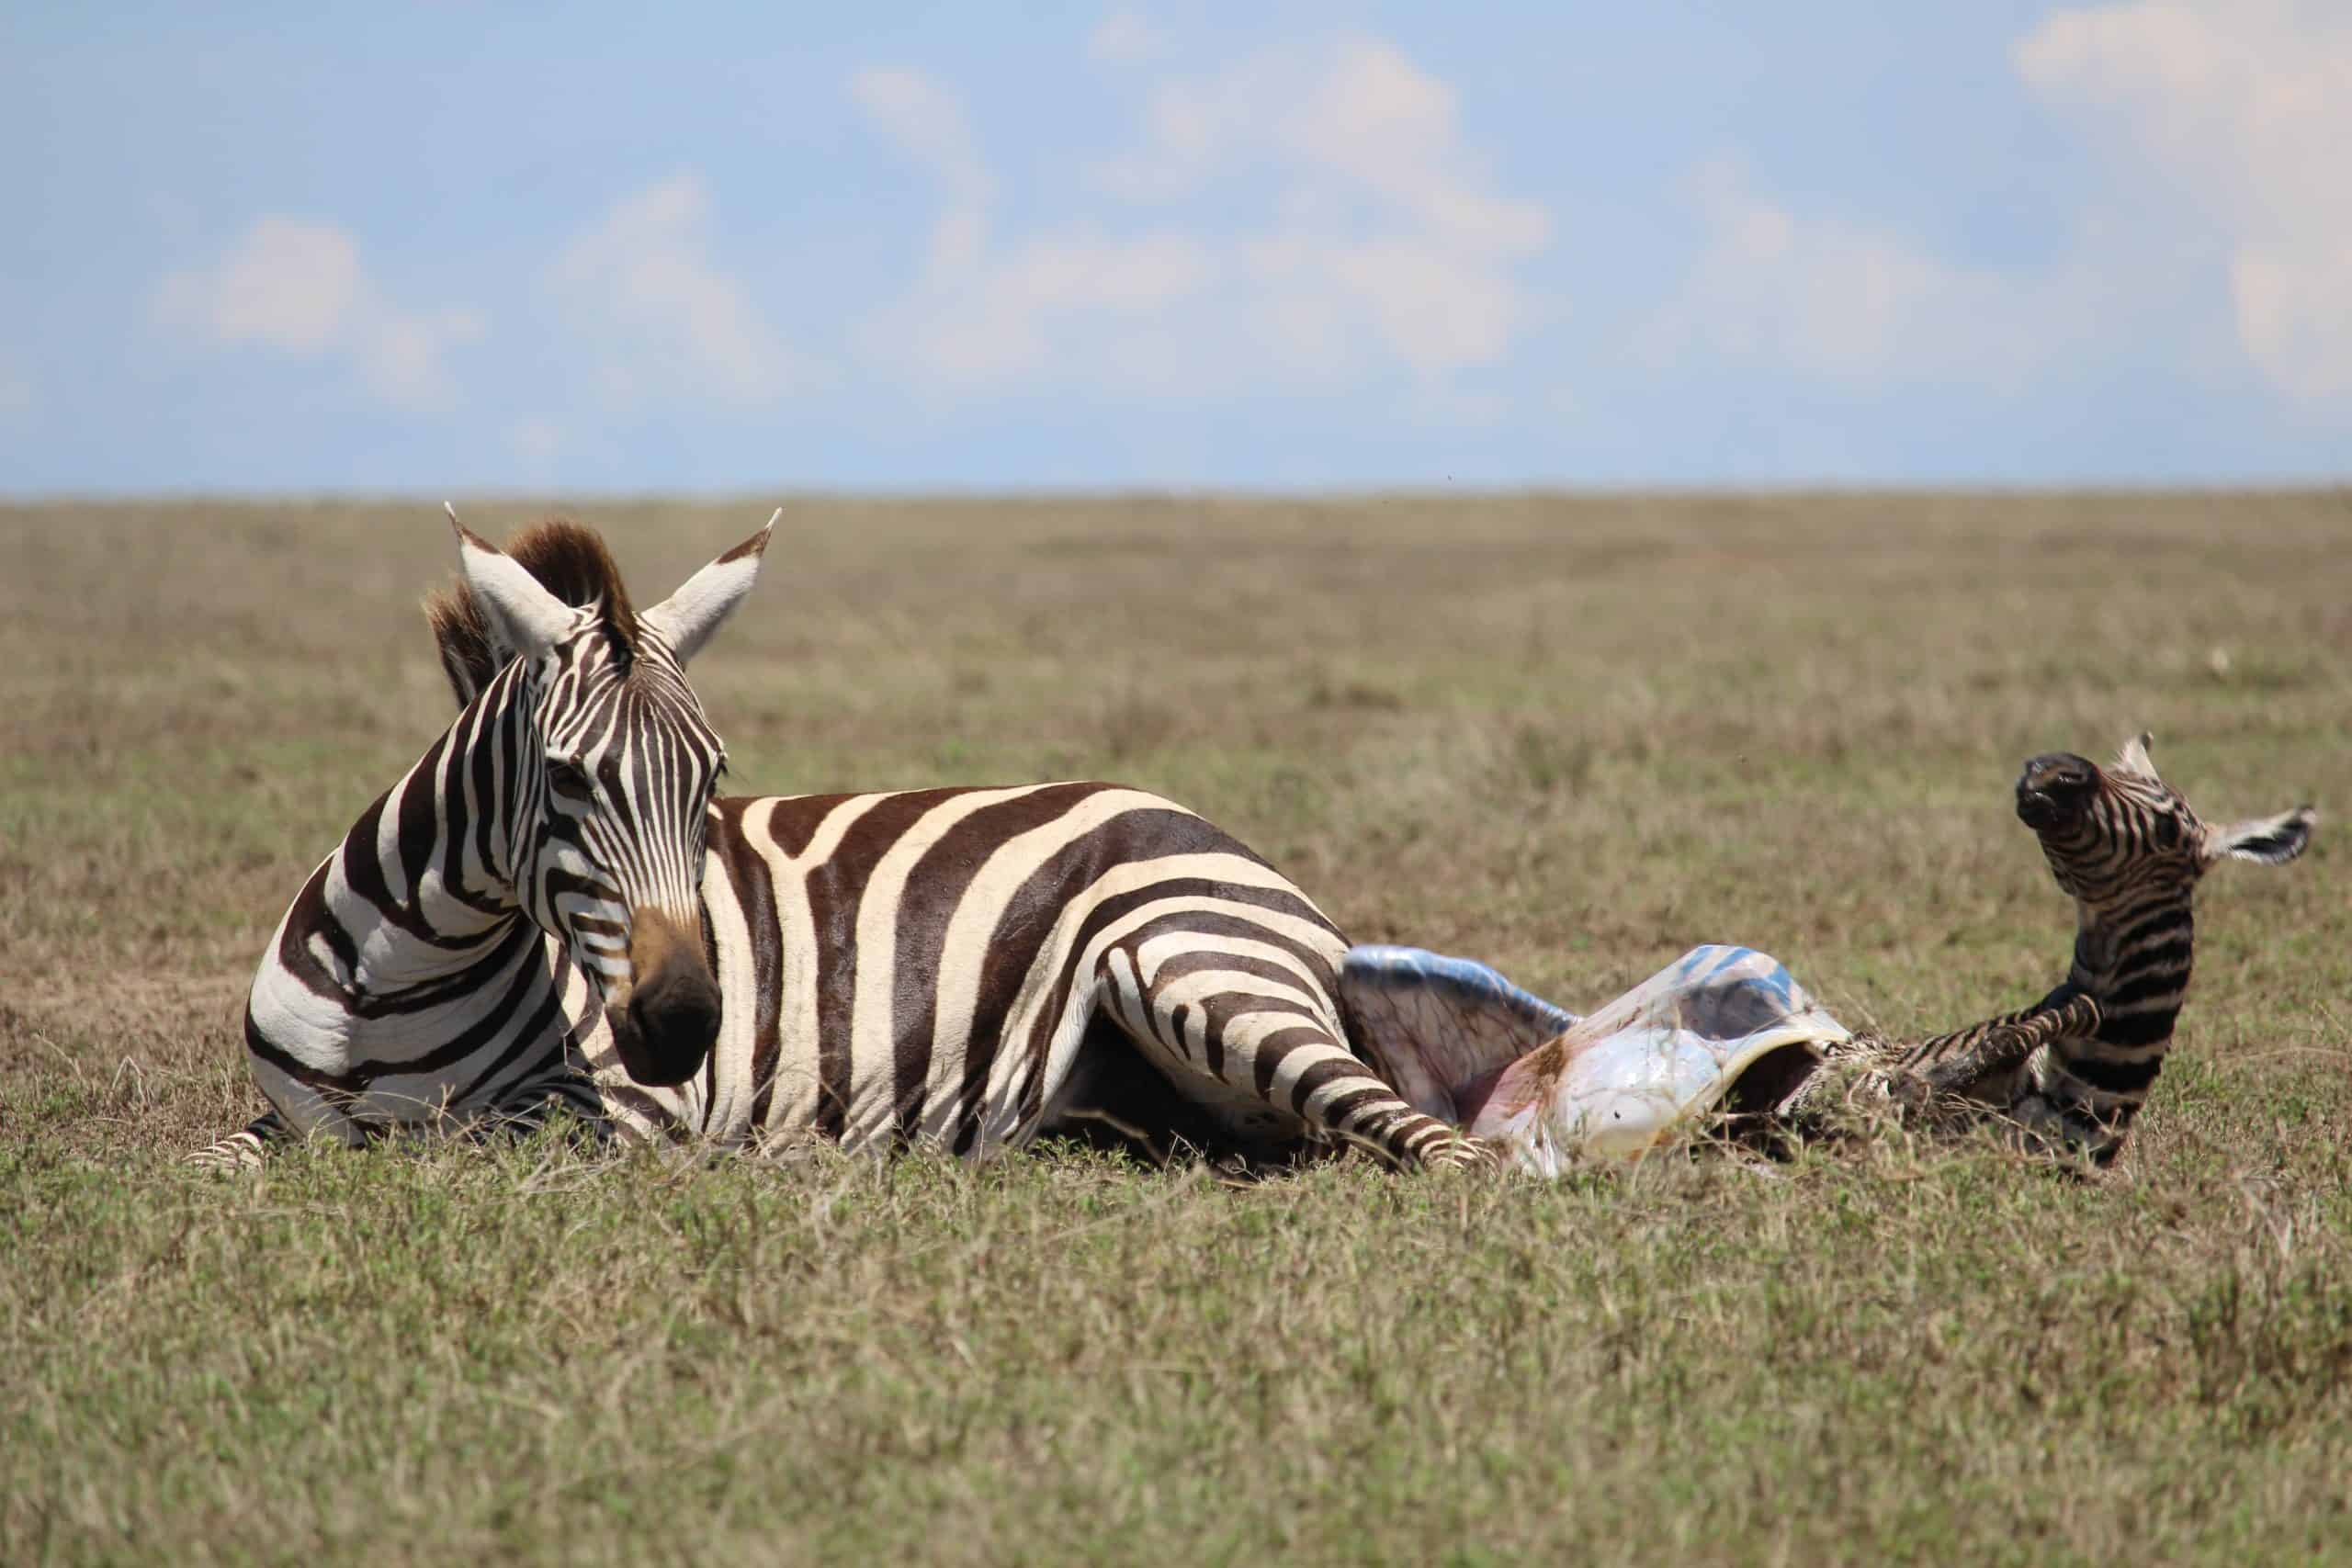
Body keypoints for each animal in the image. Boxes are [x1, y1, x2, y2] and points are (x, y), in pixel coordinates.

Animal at [192, 512, 1477, 1173]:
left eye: (713, 779)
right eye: (562, 777)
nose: (686, 1024)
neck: (401, 982)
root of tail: (1213, 835)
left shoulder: (602, 1118)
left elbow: (445, 1153)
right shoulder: (280, 1119)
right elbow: (224, 1159)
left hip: (1193, 967)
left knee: (1439, 1148)